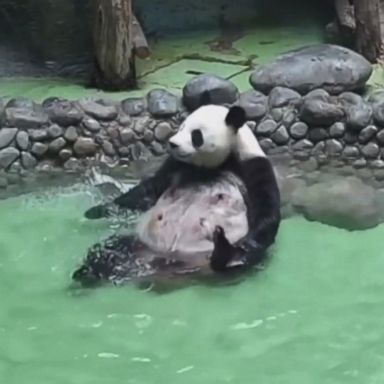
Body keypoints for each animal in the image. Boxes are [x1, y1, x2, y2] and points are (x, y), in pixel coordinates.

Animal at [72, 99, 280, 292]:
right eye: (181, 126)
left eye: (196, 135)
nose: (172, 143)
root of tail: (165, 264)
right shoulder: (176, 165)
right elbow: (148, 190)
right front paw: (99, 210)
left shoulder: (253, 166)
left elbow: (266, 214)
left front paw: (245, 244)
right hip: (139, 243)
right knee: (112, 249)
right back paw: (87, 273)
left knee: (234, 266)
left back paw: (224, 252)